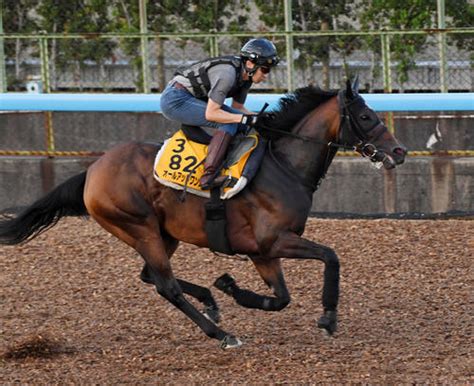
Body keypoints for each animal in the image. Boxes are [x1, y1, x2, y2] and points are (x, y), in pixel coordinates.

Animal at [0, 80, 408, 348]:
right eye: (366, 116)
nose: (400, 151)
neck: (284, 165)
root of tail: (93, 170)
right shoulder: (273, 241)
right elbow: (331, 256)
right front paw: (328, 317)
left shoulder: (262, 252)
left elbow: (281, 298)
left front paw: (229, 287)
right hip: (139, 227)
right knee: (165, 284)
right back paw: (221, 334)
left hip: (163, 233)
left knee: (151, 276)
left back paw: (212, 303)